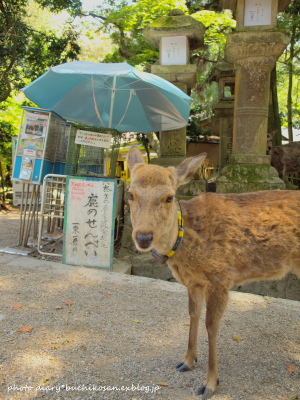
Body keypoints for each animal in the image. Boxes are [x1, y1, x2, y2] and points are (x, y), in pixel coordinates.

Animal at [126, 145, 300, 398]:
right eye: (130, 194)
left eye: (169, 197)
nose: (143, 237)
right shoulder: (194, 282)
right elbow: (193, 315)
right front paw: (187, 361)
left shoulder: (220, 277)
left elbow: (211, 325)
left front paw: (210, 383)